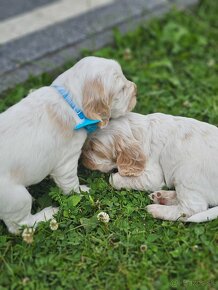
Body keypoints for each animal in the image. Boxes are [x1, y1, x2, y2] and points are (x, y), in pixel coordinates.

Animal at [0, 56, 136, 233]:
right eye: (122, 89)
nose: (136, 90)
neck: (69, 100)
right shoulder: (66, 161)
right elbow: (71, 184)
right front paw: (82, 191)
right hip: (16, 197)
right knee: (19, 225)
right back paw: (47, 213)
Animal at [82, 112, 218, 223]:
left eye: (95, 149)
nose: (82, 160)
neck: (142, 129)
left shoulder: (153, 176)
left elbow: (113, 179)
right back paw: (162, 197)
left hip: (186, 175)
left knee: (191, 209)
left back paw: (155, 209)